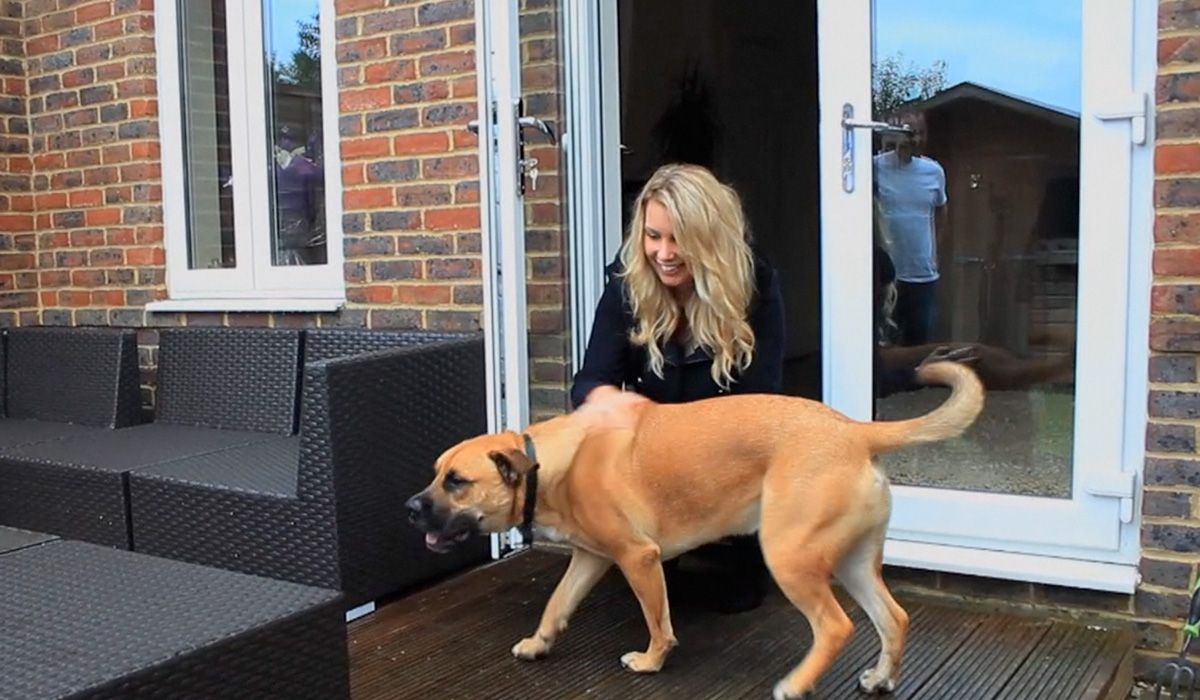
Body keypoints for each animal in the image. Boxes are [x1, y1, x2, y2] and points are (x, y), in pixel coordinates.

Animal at [408, 357, 979, 696]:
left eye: (457, 482)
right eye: (436, 474)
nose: (411, 508)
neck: (548, 465)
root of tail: (854, 431)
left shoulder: (637, 558)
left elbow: (658, 621)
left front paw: (651, 661)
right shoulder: (591, 558)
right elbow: (556, 604)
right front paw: (538, 644)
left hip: (790, 555)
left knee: (835, 626)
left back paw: (796, 684)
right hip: (854, 562)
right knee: (893, 617)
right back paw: (882, 677)